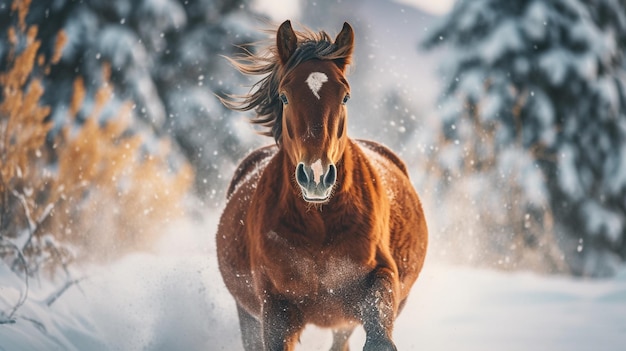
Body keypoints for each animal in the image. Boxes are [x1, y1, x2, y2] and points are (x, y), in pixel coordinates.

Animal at [217, 20, 426, 350]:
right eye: (284, 96)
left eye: (345, 96)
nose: (316, 176)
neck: (320, 225)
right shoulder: (275, 306)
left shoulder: (380, 278)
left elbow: (380, 338)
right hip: (247, 314)